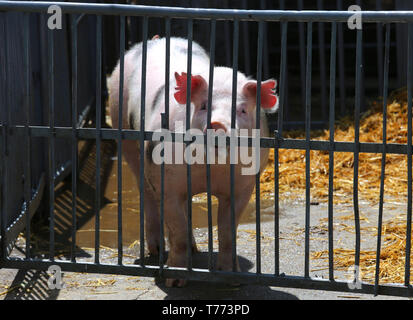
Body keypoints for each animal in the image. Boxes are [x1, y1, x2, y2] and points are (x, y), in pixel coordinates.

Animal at [108, 36, 278, 286]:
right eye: (204, 106)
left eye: (243, 110)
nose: (217, 124)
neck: (210, 167)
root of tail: (156, 40)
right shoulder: (166, 183)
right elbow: (177, 230)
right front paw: (174, 282)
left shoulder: (243, 186)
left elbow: (227, 232)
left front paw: (232, 279)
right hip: (123, 130)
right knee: (147, 195)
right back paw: (157, 252)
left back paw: (195, 249)